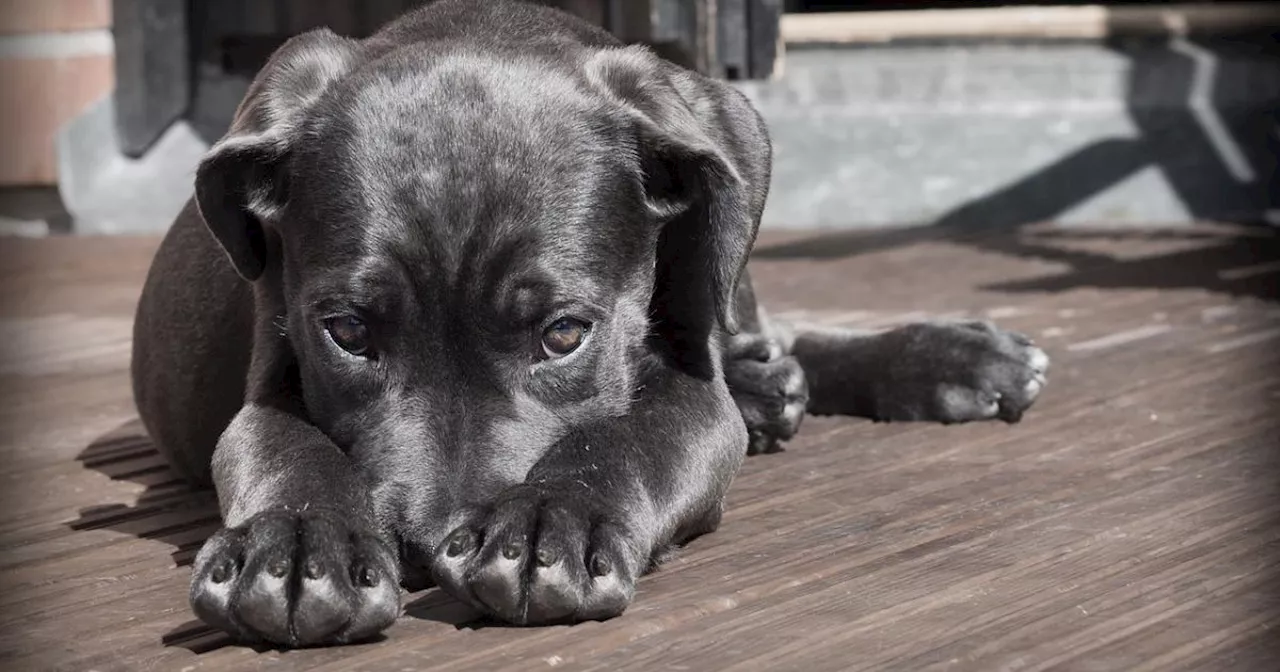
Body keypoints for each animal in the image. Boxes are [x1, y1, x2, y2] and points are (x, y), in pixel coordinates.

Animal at [132, 1, 1049, 650]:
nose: (427, 548)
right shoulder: (270, 374)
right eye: (348, 333)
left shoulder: (689, 388)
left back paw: (946, 357)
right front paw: (295, 547)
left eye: (565, 334)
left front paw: (551, 521)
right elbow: (284, 446)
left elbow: (630, 437)